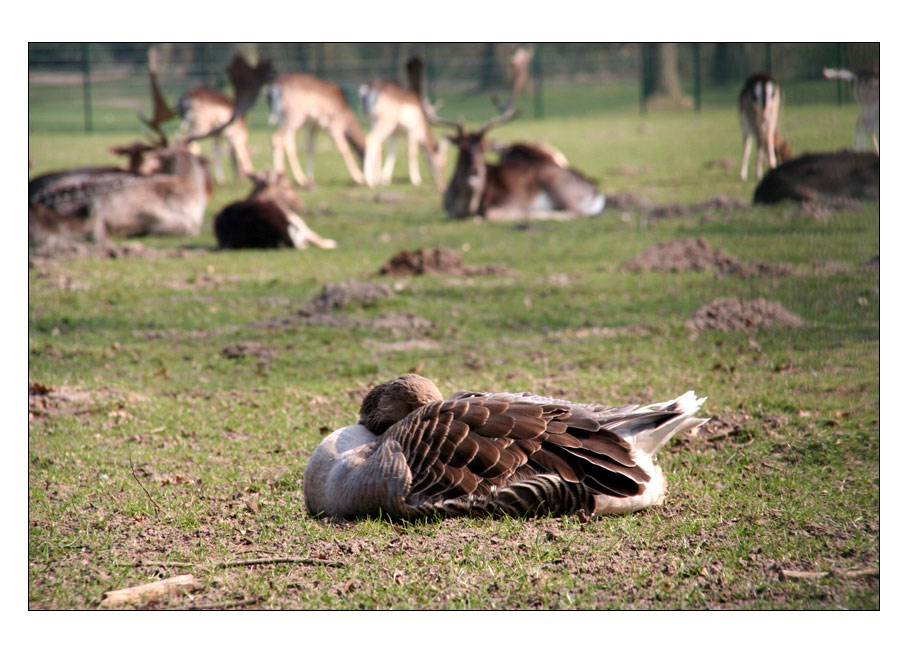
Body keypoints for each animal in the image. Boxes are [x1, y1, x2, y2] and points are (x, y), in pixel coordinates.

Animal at [358, 56, 450, 191]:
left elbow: (393, 152)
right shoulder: (413, 130)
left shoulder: (394, 133)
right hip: (385, 121)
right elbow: (412, 152)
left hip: (372, 121)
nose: (442, 184)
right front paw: (416, 180)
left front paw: (385, 179)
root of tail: (368, 90)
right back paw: (369, 181)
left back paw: (376, 179)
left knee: (378, 145)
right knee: (371, 139)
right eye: (443, 162)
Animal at [418, 49, 604, 223]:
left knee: (575, 212)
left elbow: (491, 213)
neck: (467, 208)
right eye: (462, 148)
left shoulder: (512, 201)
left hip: (555, 182)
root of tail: (595, 189)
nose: (476, 170)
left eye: (484, 148)